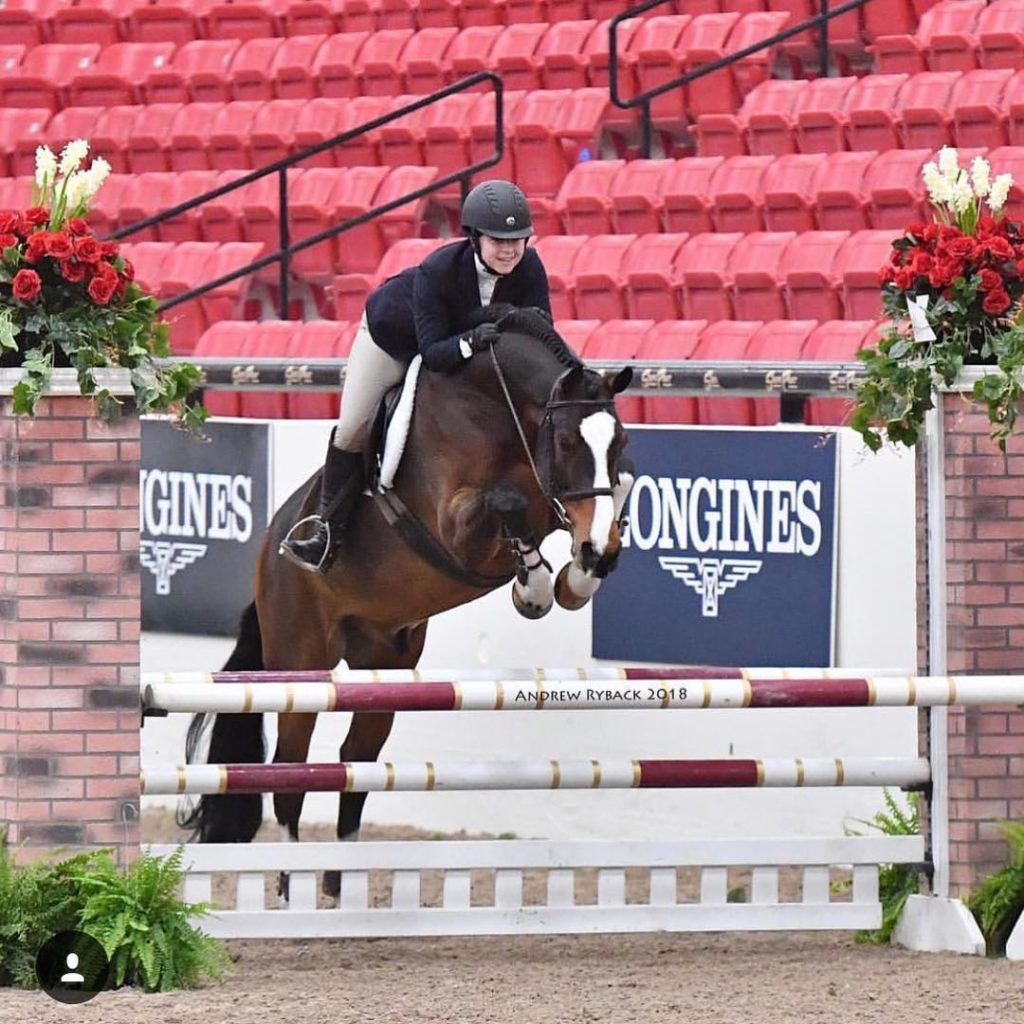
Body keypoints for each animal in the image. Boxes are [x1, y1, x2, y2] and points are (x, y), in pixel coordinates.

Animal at [180, 305, 634, 897]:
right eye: (565, 444)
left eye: (618, 442)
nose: (597, 550)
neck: (500, 409)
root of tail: (271, 550)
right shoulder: (455, 524)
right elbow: (506, 502)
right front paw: (533, 589)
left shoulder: (555, 500)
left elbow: (606, 493)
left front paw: (575, 579)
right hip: (301, 661)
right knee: (291, 773)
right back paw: (291, 882)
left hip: (386, 670)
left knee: (355, 766)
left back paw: (339, 884)